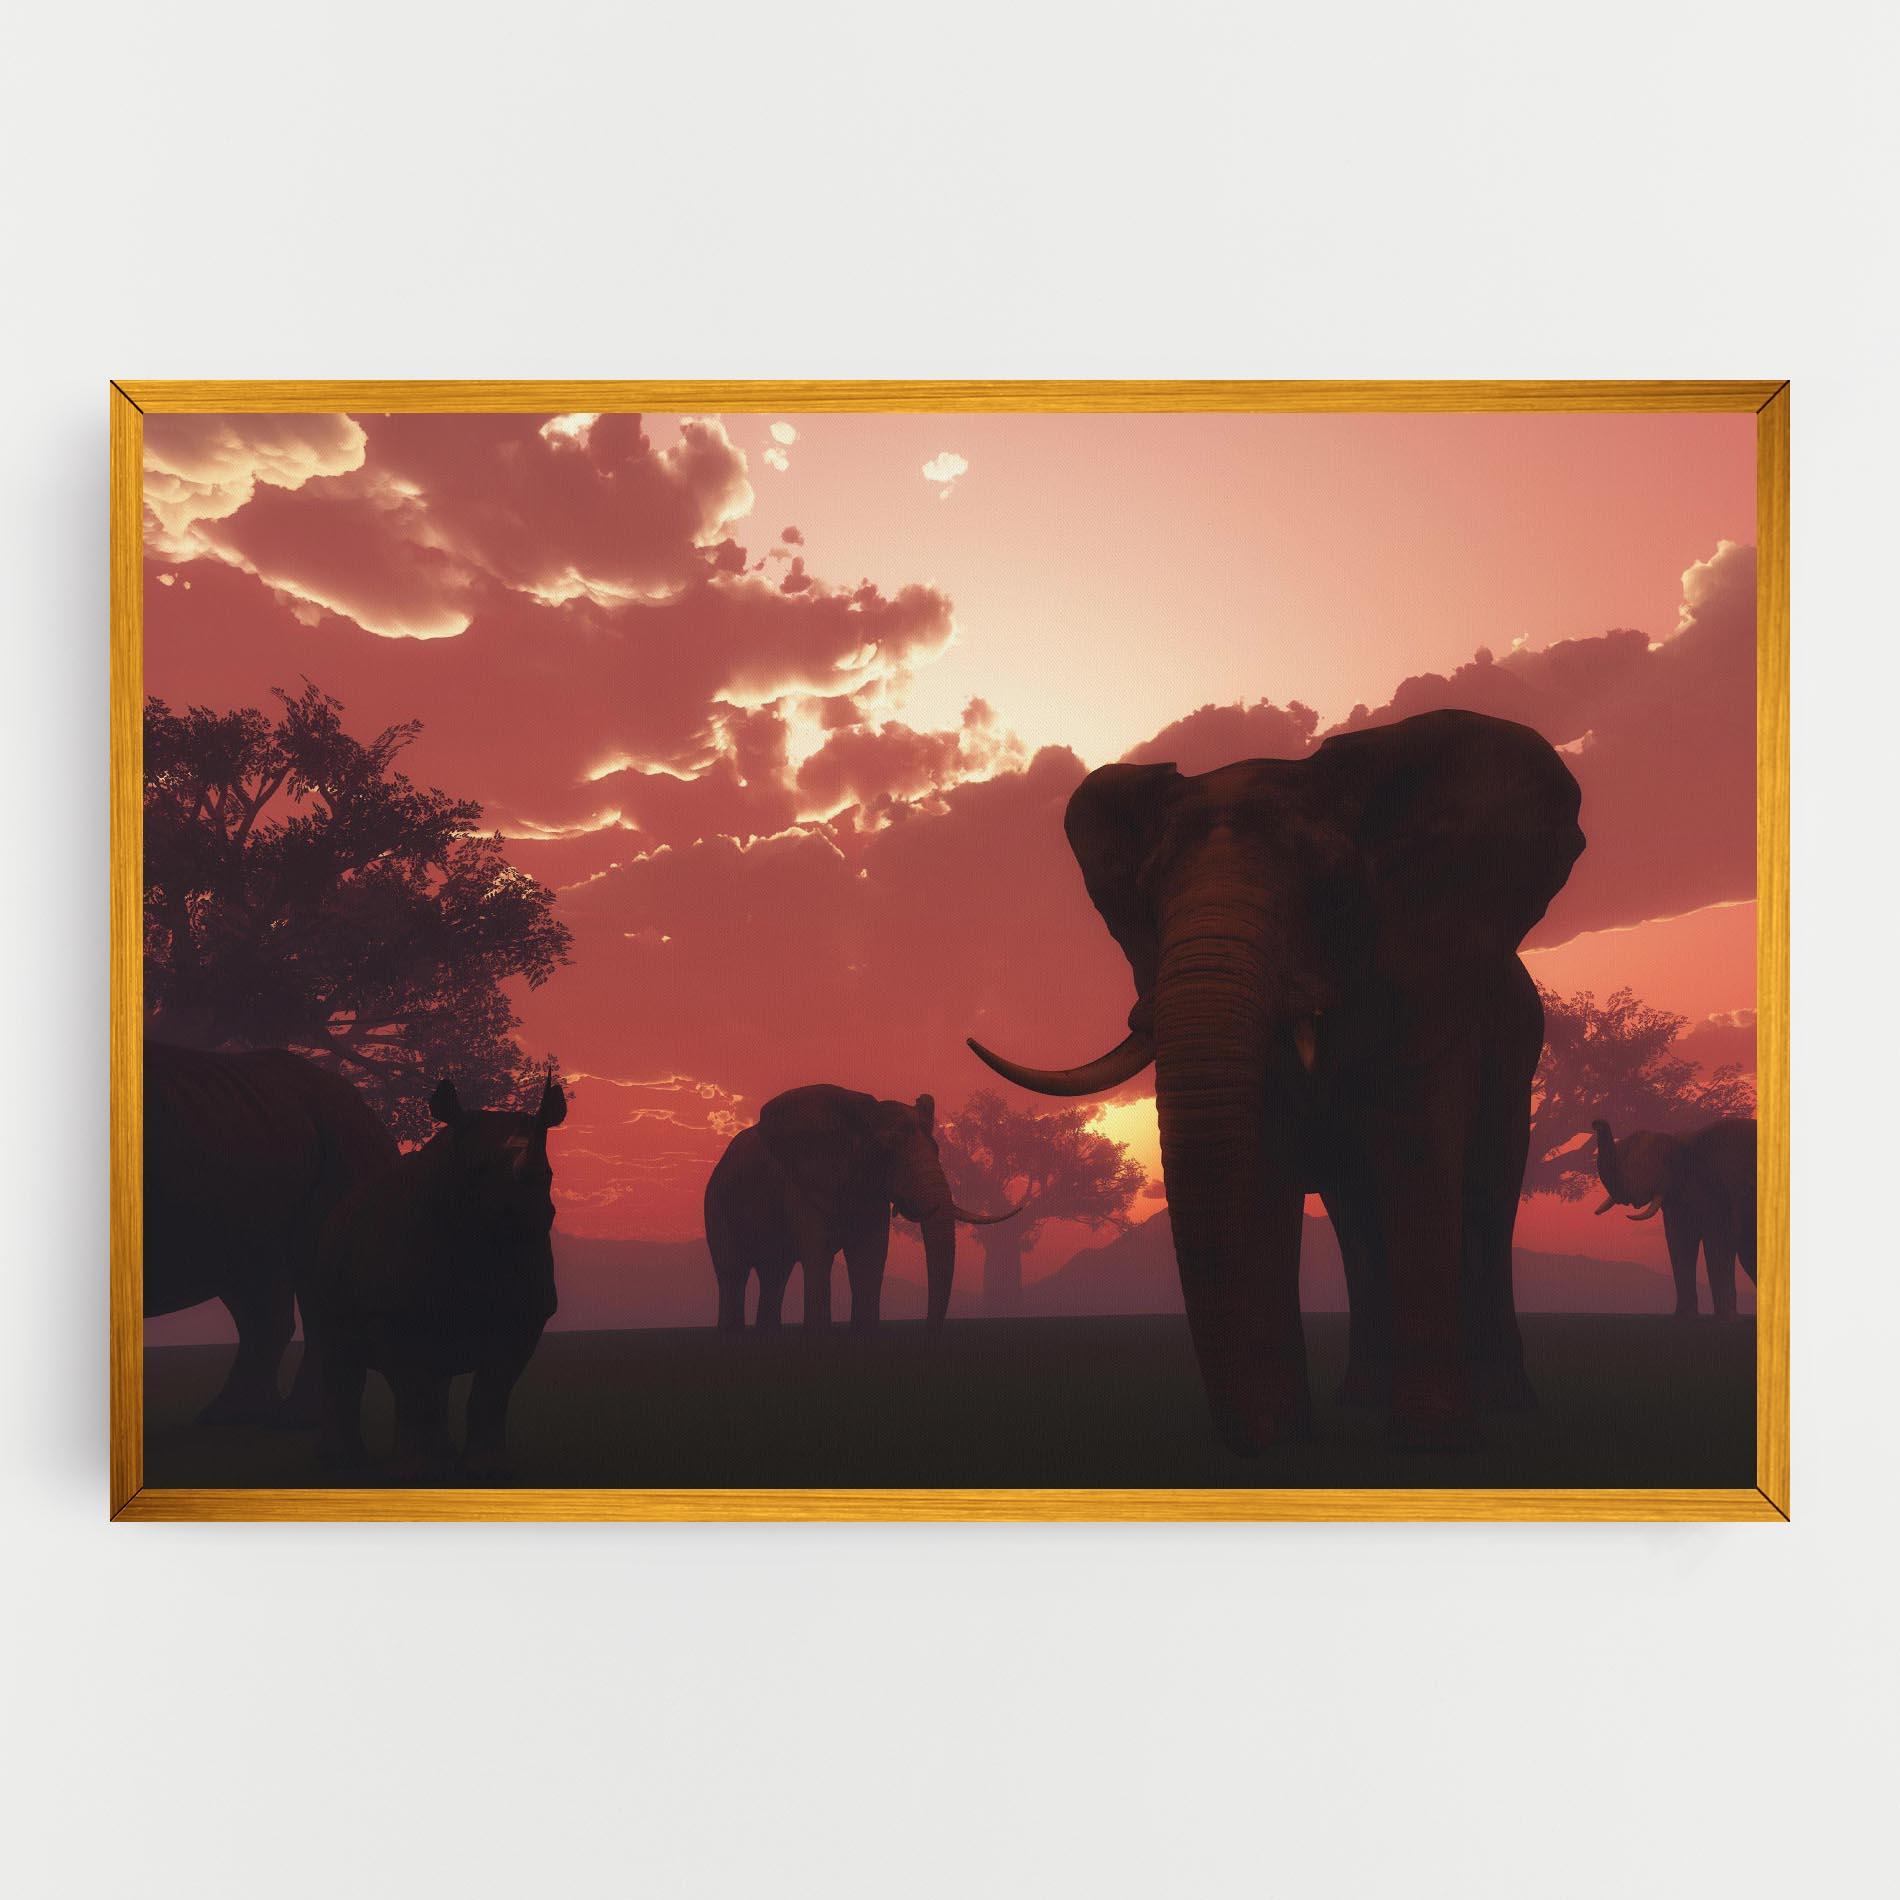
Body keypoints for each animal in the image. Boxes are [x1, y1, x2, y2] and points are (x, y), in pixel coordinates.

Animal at [309, 1075, 566, 1476]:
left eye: (549, 1176)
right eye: (477, 1171)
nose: (528, 1211)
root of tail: (342, 1207)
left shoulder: (527, 1313)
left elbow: (493, 1390)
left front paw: (488, 1468)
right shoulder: (390, 1311)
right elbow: (413, 1386)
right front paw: (415, 1471)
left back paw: (439, 1454)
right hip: (325, 1253)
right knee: (341, 1356)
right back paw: (343, 1462)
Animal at [703, 1084, 1024, 1331]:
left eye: (937, 1150)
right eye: (885, 1151)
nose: (927, 1330)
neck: (860, 1116)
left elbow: (870, 1254)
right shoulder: (803, 1183)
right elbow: (818, 1254)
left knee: (774, 1274)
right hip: (716, 1205)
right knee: (733, 1273)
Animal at [968, 708, 1584, 1453]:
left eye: (1332, 884)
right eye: (1147, 899)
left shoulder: (1431, 989)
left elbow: (1416, 1153)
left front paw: (1431, 1441)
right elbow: (1258, 1164)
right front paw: (1281, 1438)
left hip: (1519, 1058)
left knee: (1487, 1201)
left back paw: (1510, 1407)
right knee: (1357, 1223)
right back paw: (1359, 1399)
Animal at [1591, 1118, 1757, 1319]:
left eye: (1643, 1166)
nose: (1596, 1122)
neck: (1681, 1143)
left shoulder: (1724, 1187)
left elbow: (1718, 1241)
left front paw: (1726, 1318)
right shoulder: (1677, 1194)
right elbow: (1679, 1241)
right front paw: (1685, 1316)